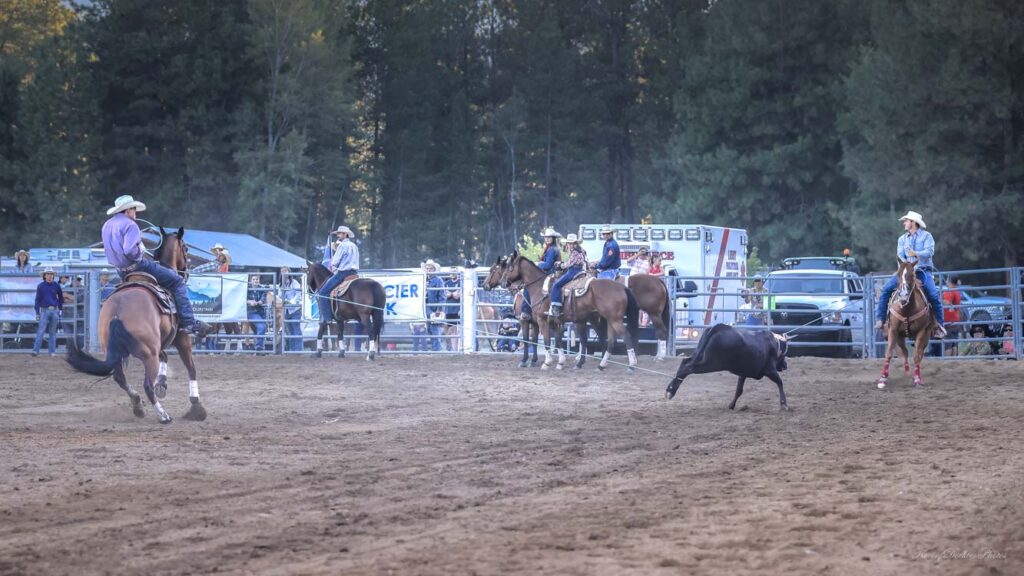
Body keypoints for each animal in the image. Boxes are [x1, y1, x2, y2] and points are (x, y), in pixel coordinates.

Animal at [66, 227, 206, 424]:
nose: (186, 272)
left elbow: (165, 357)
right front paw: (196, 407)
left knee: (120, 378)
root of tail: (118, 310)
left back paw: (138, 404)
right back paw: (163, 415)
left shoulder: (160, 343)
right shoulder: (182, 338)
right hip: (149, 354)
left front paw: (162, 384)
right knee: (146, 384)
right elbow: (191, 368)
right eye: (185, 248)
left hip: (119, 351)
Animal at [501, 250, 639, 371]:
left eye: (509, 268)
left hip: (615, 320)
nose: (503, 282)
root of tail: (622, 287)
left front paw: (547, 363)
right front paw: (560, 363)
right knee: (609, 340)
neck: (539, 287)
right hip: (604, 320)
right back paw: (600, 365)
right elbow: (558, 341)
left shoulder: (542, 320)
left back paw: (632, 365)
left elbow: (546, 341)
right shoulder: (555, 322)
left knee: (626, 336)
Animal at [877, 260, 935, 389]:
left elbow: (916, 356)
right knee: (904, 352)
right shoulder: (893, 330)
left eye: (912, 275)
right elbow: (889, 353)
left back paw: (915, 377)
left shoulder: (921, 331)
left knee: (920, 353)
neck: (906, 310)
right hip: (900, 337)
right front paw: (882, 378)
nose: (903, 297)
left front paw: (917, 380)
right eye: (898, 274)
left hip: (927, 335)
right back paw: (907, 373)